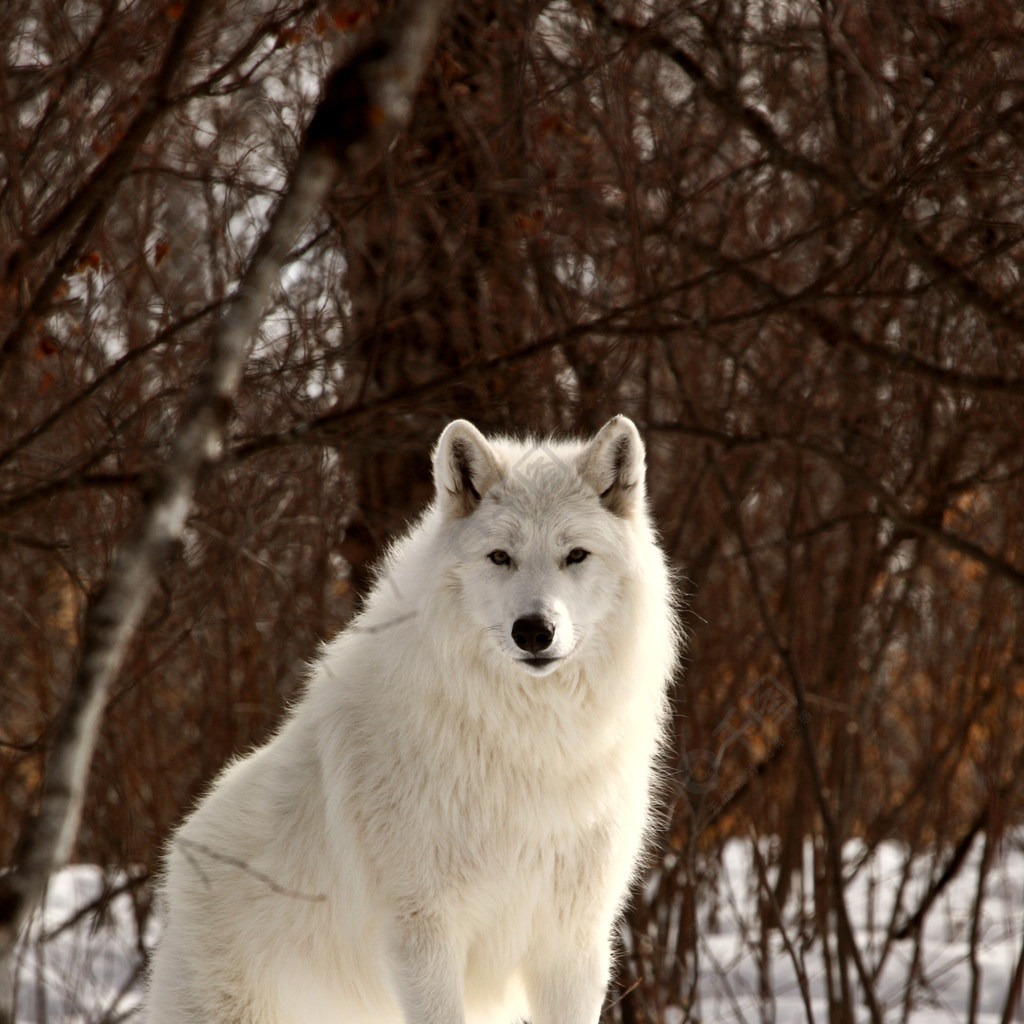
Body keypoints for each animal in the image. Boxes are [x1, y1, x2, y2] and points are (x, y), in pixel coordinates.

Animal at [146, 413, 679, 1024]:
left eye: (576, 556)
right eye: (501, 557)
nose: (533, 630)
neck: (528, 743)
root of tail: (180, 854)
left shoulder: (573, 941)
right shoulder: (423, 932)